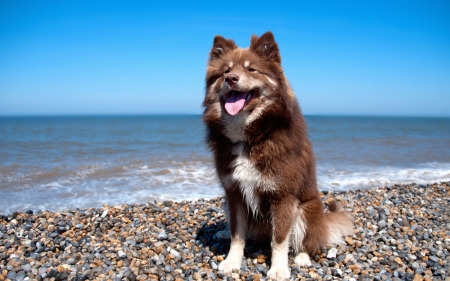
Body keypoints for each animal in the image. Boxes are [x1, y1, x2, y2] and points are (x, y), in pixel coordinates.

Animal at [202, 31, 354, 278]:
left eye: (252, 69)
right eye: (225, 71)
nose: (231, 79)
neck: (250, 137)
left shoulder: (283, 196)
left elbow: (280, 239)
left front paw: (279, 269)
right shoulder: (234, 193)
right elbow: (237, 234)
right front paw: (231, 261)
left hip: (306, 211)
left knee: (309, 242)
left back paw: (302, 257)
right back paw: (223, 232)